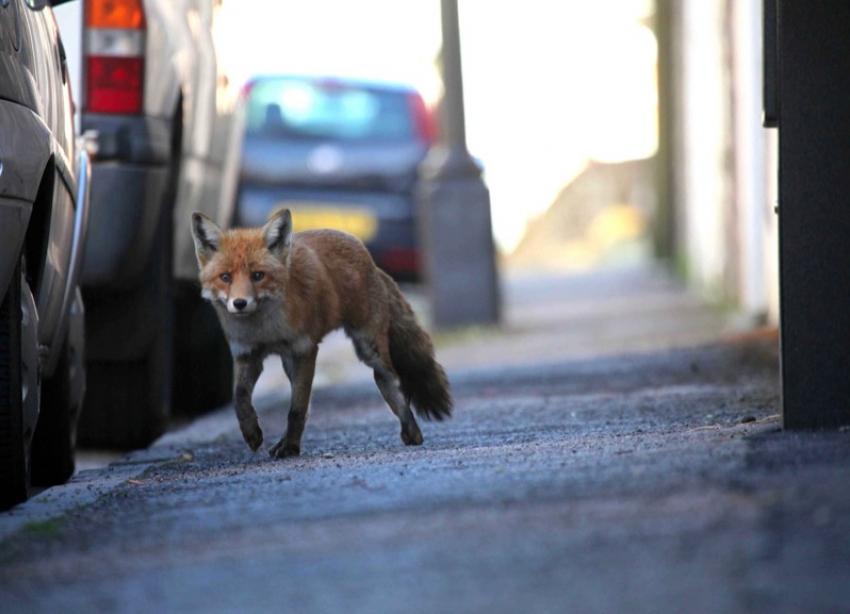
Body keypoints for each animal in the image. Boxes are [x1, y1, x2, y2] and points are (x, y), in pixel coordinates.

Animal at [192, 209, 454, 460]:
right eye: (225, 277)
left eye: (258, 275)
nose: (239, 303)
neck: (265, 330)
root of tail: (370, 260)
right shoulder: (247, 355)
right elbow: (240, 400)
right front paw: (252, 433)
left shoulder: (305, 350)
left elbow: (296, 408)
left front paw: (290, 448)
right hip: (291, 362)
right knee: (311, 404)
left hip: (370, 351)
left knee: (393, 383)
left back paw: (412, 432)